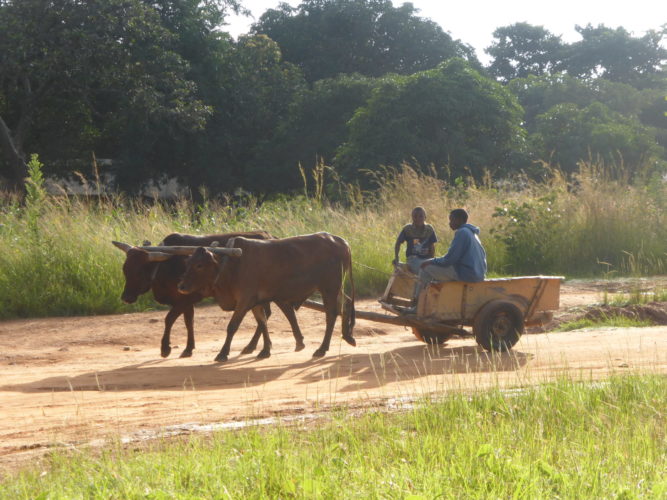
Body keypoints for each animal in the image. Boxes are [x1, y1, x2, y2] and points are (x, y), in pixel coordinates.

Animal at [112, 232, 305, 359]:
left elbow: (169, 319)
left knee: (285, 311)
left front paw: (165, 348)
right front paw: (188, 348)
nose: (126, 297)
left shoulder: (184, 300)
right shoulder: (187, 301)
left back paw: (293, 342)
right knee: (270, 314)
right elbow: (188, 322)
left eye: (140, 271)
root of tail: (271, 237)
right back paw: (257, 346)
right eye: (125, 269)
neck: (167, 265)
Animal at [177, 232, 356, 362]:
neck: (231, 265)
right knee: (347, 303)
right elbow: (262, 323)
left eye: (199, 265)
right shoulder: (255, 302)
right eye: (188, 263)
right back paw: (348, 336)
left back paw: (322, 348)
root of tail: (341, 241)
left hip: (329, 288)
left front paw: (223, 353)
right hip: (334, 288)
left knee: (331, 314)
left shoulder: (244, 300)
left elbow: (232, 326)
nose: (181, 286)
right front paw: (265, 350)